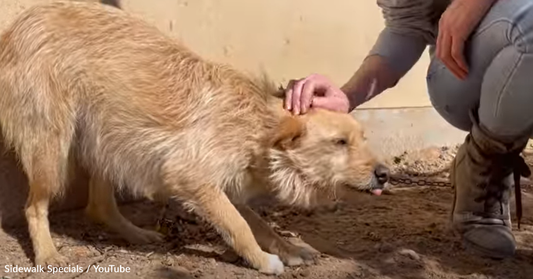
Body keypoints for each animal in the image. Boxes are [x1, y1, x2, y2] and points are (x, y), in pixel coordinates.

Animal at [0, 0, 388, 276]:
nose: (385, 174)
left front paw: (289, 249)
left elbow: (259, 224)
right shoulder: (192, 178)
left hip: (107, 137)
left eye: (362, 138)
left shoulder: (224, 184)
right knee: (35, 206)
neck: (256, 125)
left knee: (99, 205)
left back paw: (137, 235)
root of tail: (21, 23)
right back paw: (48, 254)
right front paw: (263, 261)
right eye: (339, 143)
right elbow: (238, 225)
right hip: (52, 146)